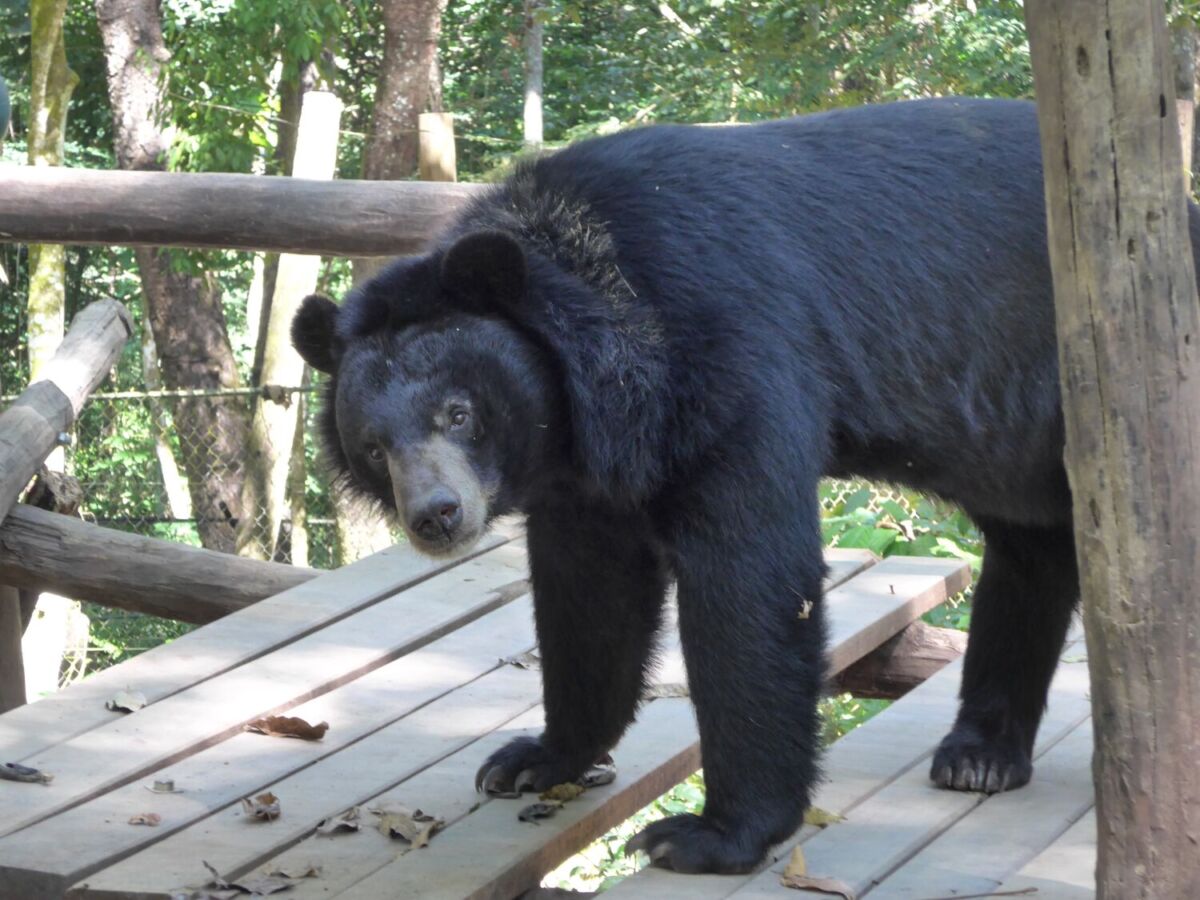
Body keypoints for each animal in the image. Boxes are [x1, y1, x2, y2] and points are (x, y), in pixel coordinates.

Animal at [291, 96, 1200, 875]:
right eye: (373, 446)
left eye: (459, 412)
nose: (438, 516)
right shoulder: (586, 469)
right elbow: (588, 593)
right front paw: (532, 758)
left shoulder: (724, 354)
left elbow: (749, 583)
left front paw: (706, 836)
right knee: (1031, 549)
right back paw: (980, 754)